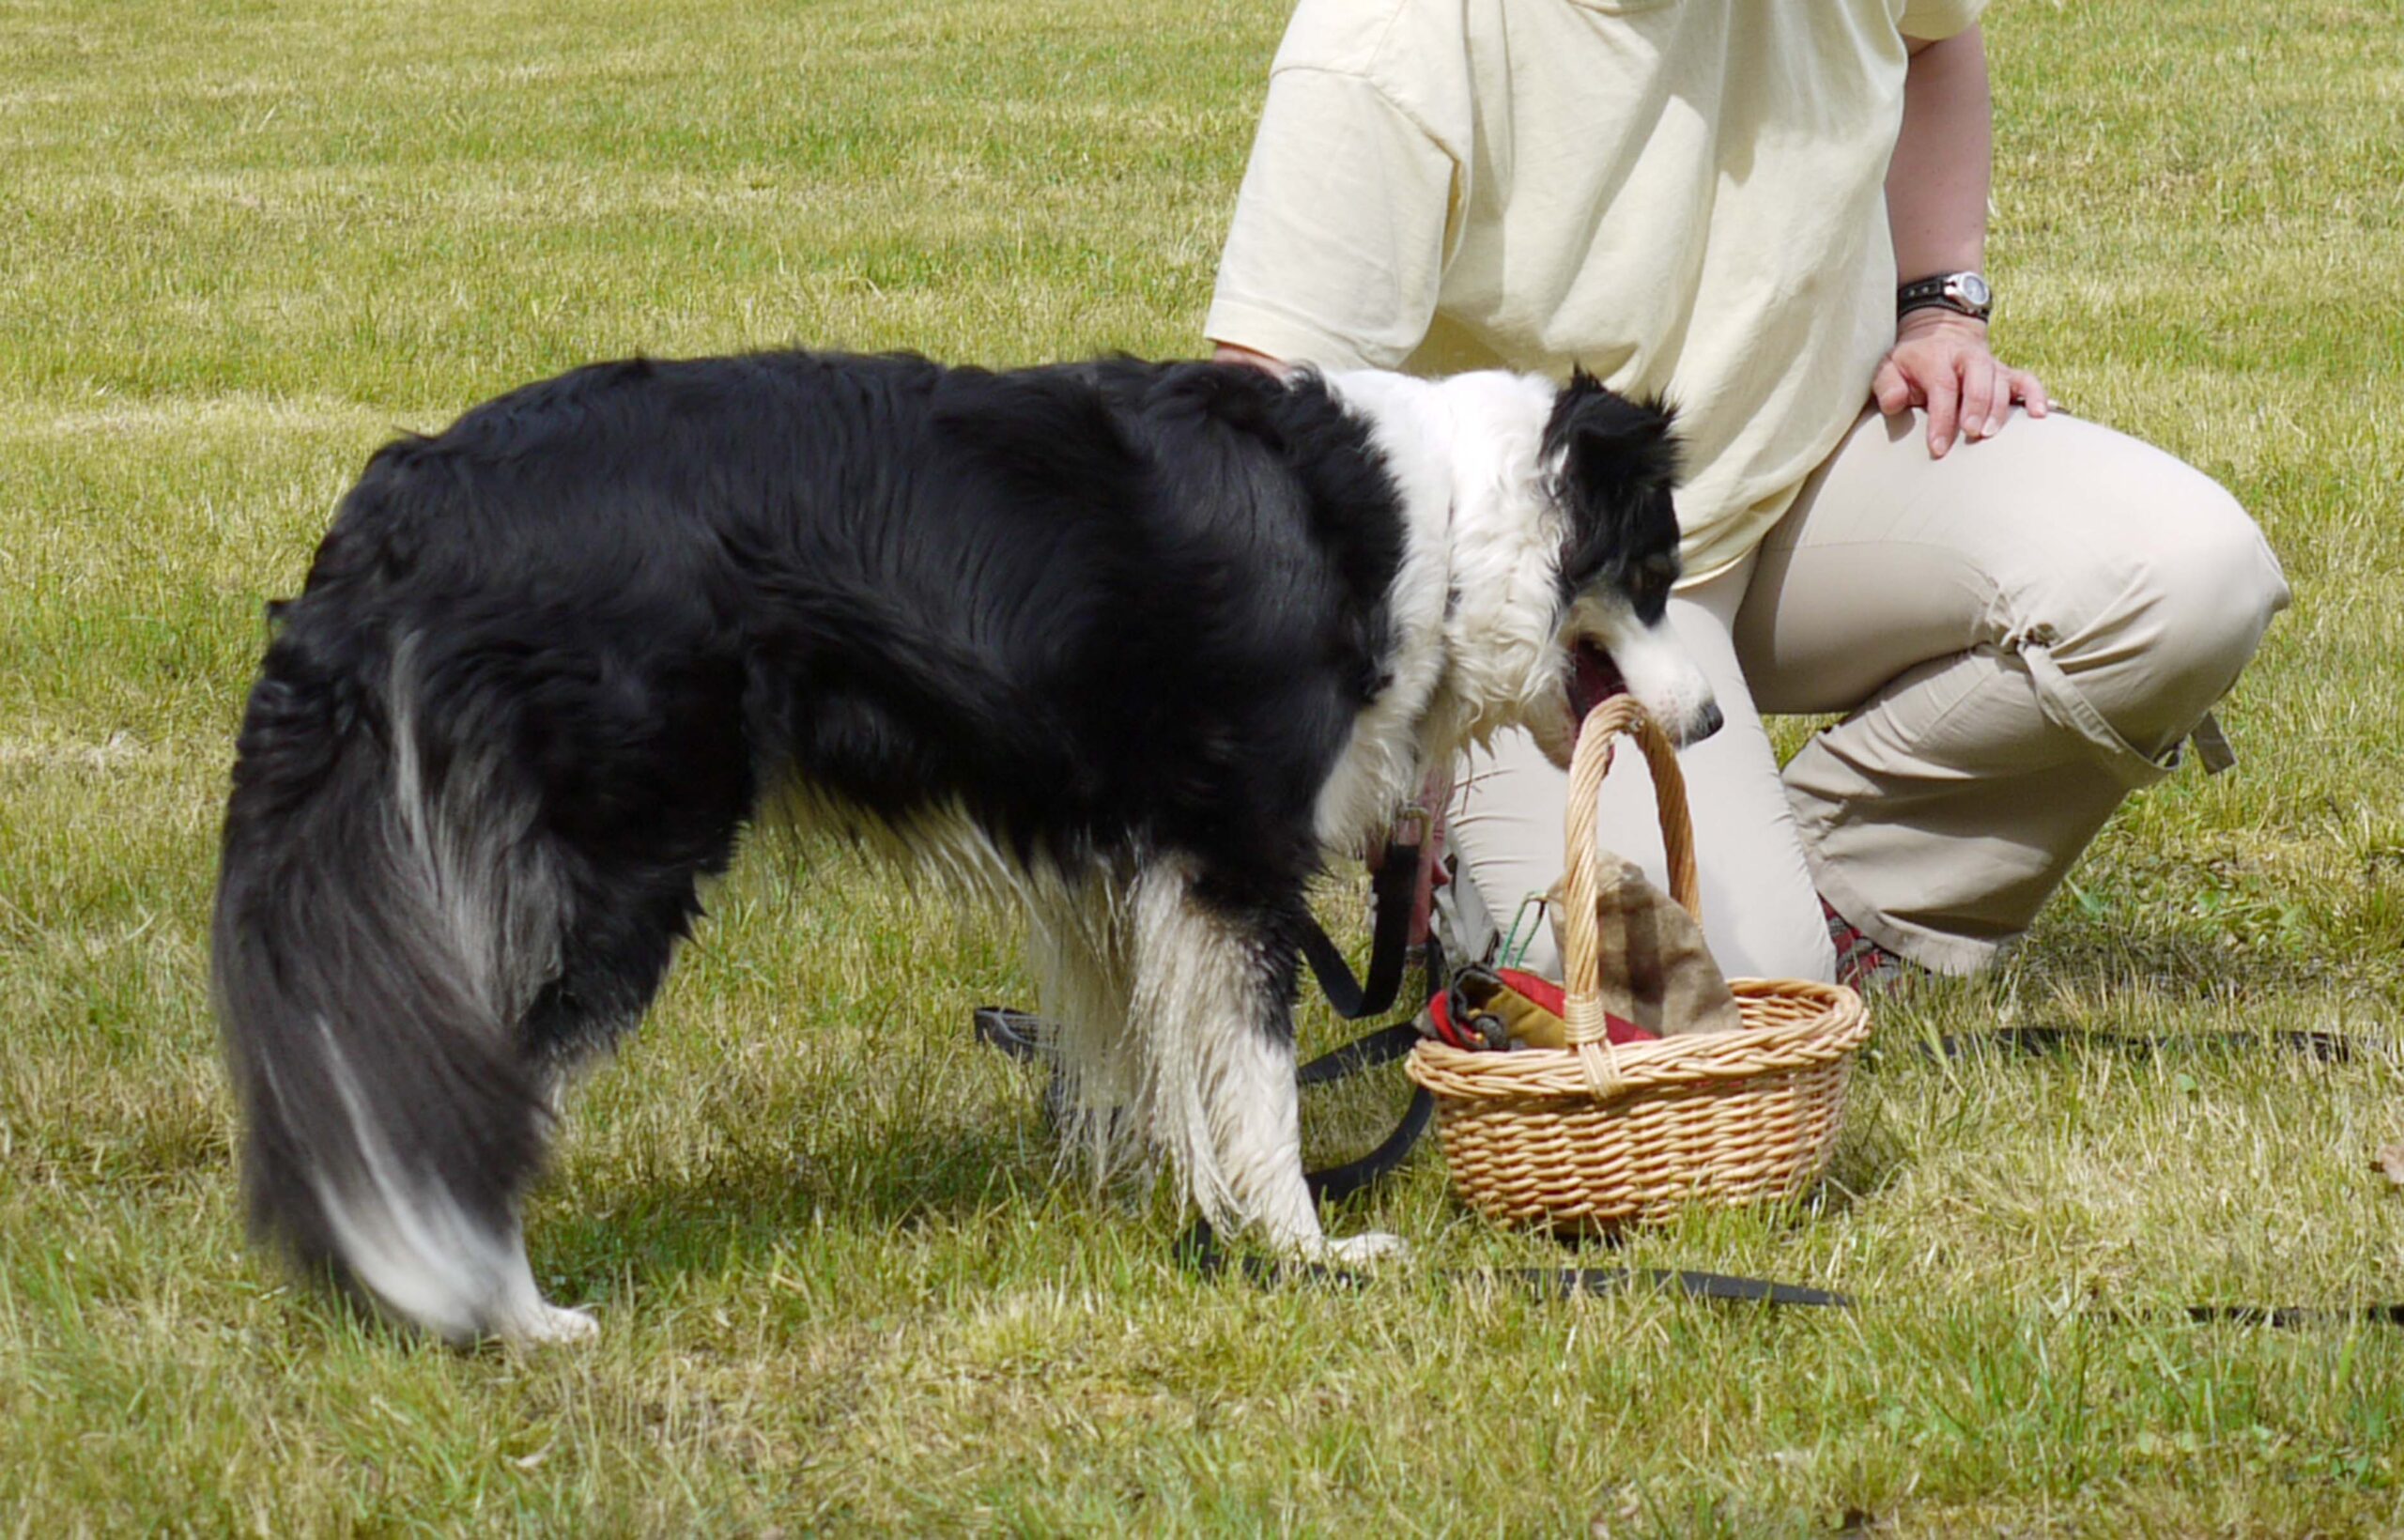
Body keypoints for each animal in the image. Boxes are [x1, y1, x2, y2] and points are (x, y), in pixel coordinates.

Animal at [207, 355, 1711, 1335]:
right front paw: (1303, 1251)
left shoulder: (1137, 871)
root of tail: (410, 495)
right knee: (485, 1096)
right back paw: (521, 1319)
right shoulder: (1233, 855)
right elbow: (1259, 1084)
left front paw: (1191, 1213)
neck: (1442, 529)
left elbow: (1166, 1061)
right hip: (620, 867)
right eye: (1652, 577)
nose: (1698, 719)